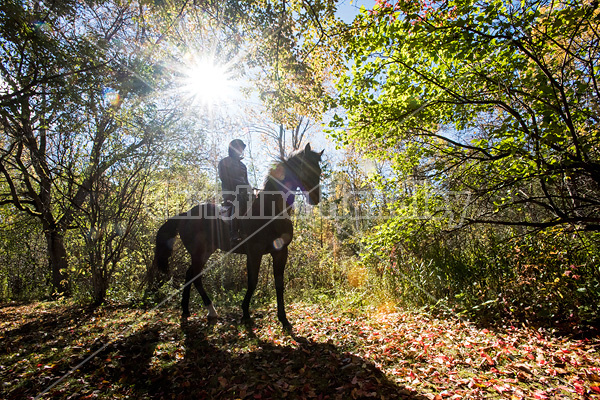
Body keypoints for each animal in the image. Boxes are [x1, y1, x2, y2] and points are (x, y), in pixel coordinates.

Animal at [151, 142, 324, 330]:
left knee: (190, 275)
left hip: (205, 252)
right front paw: (246, 314)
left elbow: (279, 284)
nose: (315, 199)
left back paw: (186, 310)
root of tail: (185, 215)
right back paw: (211, 311)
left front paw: (283, 319)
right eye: (307, 169)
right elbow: (252, 282)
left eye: (319, 170)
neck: (271, 210)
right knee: (195, 277)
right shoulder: (254, 253)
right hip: (199, 252)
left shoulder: (280, 252)